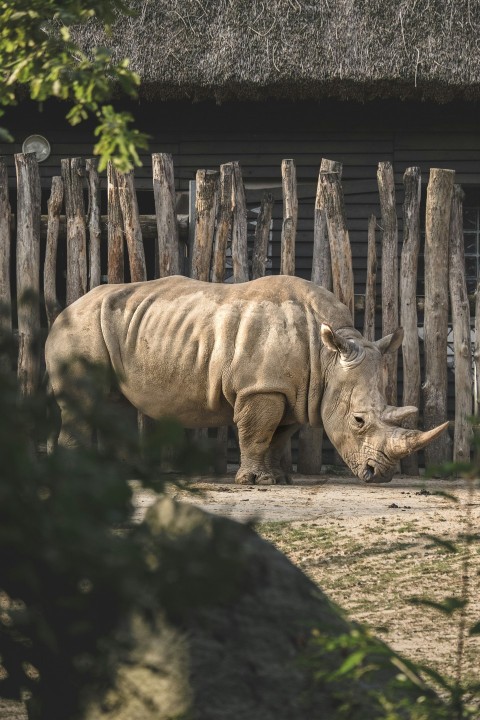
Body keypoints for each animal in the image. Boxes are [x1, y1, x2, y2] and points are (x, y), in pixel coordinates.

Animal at [45, 275, 447, 484]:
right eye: (359, 420)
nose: (380, 475)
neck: (328, 356)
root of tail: (64, 309)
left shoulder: (292, 391)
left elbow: (278, 435)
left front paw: (278, 479)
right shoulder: (261, 387)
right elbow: (257, 432)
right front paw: (255, 482)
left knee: (114, 403)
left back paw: (125, 477)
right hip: (79, 328)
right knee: (83, 402)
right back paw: (75, 479)